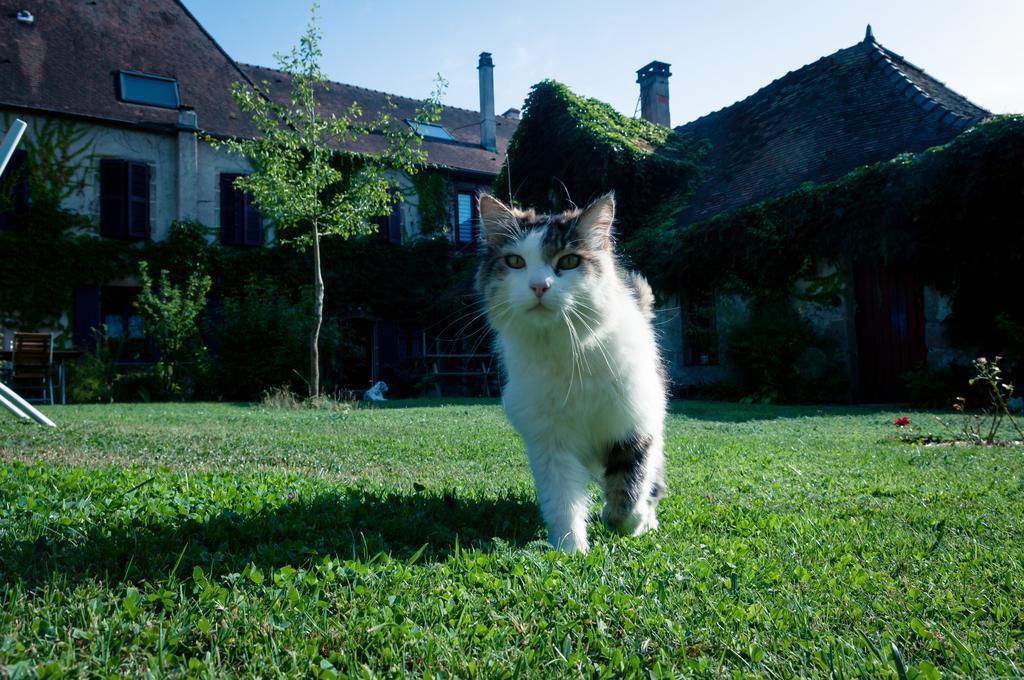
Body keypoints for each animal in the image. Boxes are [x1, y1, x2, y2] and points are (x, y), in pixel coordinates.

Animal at [475, 191, 667, 553]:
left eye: (568, 262)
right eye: (515, 262)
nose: (539, 286)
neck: (569, 354)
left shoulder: (634, 427)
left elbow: (629, 491)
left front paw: (627, 523)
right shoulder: (550, 443)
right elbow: (563, 502)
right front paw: (571, 550)